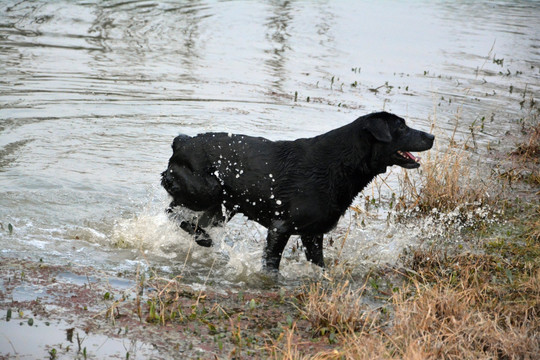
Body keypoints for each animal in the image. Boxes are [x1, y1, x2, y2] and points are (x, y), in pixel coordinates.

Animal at [160, 111, 434, 272]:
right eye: (401, 127)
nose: (431, 136)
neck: (341, 162)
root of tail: (181, 141)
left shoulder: (313, 234)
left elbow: (320, 264)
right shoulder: (280, 228)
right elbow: (272, 264)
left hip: (221, 206)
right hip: (207, 190)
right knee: (174, 213)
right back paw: (204, 239)